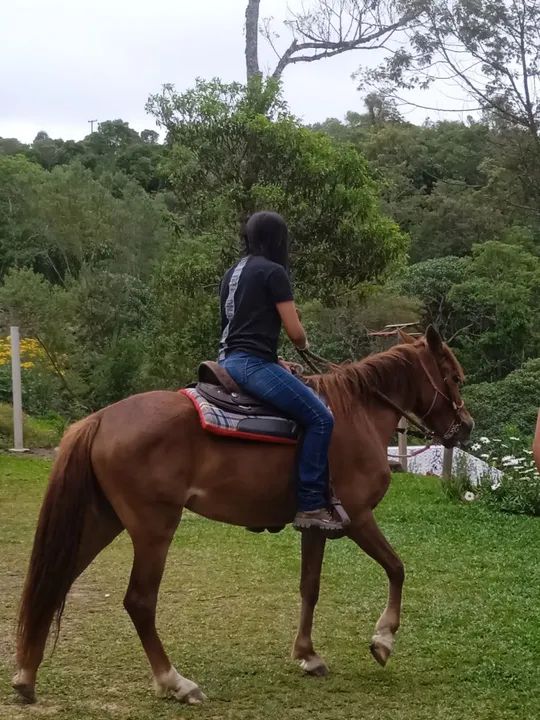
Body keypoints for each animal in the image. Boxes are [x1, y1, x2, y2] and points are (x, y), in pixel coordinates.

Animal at [12, 326, 473, 705]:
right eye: (454, 377)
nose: (466, 427)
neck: (357, 413)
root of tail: (101, 418)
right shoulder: (358, 518)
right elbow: (397, 568)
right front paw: (383, 639)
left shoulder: (316, 525)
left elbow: (310, 587)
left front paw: (307, 655)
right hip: (153, 527)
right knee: (139, 601)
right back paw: (175, 682)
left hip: (101, 520)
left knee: (55, 582)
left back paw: (25, 676)